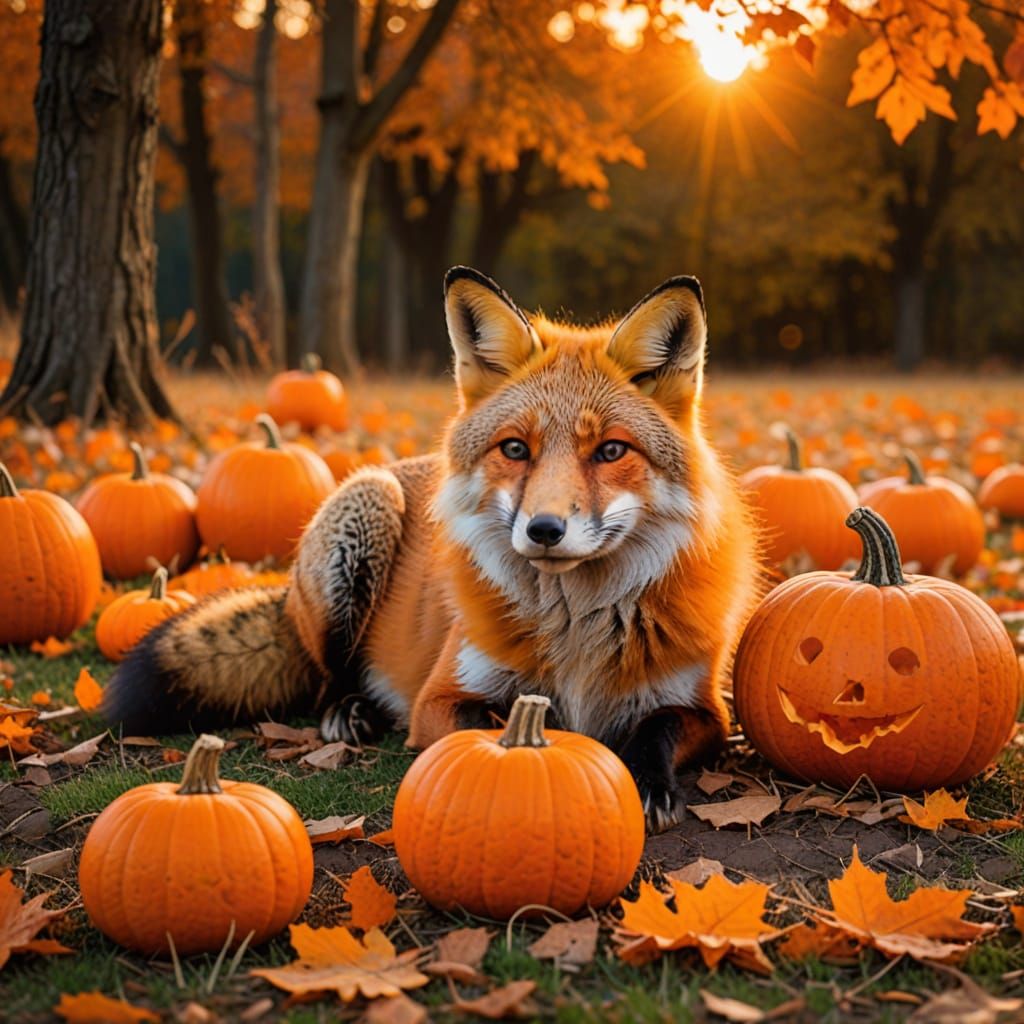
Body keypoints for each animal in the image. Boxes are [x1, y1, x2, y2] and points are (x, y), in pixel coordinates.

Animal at [105, 267, 761, 830]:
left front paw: (648, 781)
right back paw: (351, 712)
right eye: (515, 449)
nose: (544, 529)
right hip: (364, 520)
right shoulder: (441, 697)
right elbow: (487, 726)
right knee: (325, 678)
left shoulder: (706, 712)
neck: (575, 632)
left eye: (611, 451)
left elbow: (656, 731)